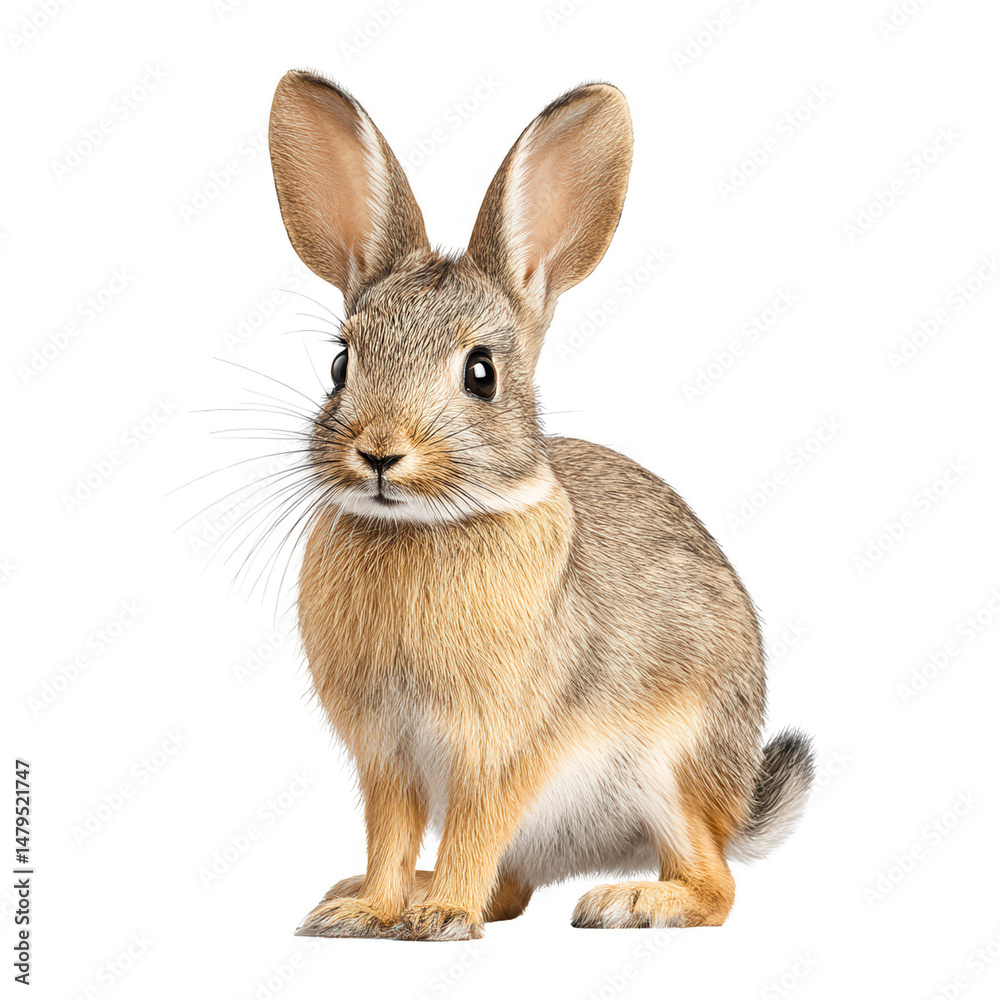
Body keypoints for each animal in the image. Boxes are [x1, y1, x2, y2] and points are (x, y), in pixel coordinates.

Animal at [267, 69, 814, 941]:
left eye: (481, 373)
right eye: (340, 364)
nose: (380, 453)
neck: (427, 528)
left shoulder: (502, 751)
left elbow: (474, 827)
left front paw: (442, 921)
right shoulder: (386, 757)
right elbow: (389, 835)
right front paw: (367, 913)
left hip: (668, 771)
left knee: (714, 882)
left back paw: (627, 900)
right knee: (514, 887)